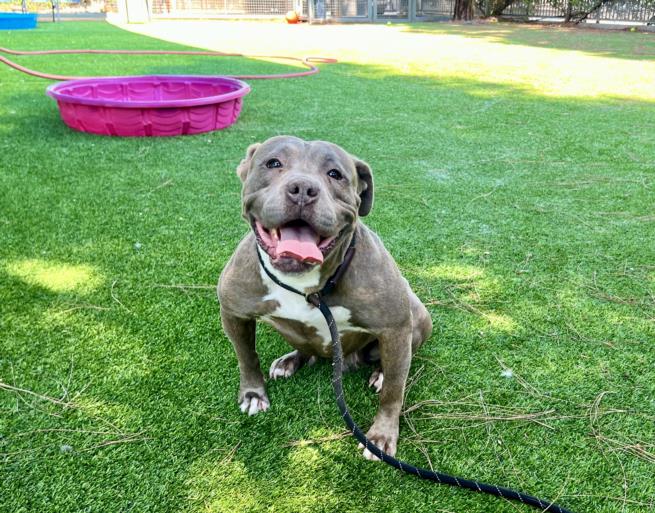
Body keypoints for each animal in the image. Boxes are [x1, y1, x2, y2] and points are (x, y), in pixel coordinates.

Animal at [220, 134, 434, 458]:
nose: (302, 189)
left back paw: (379, 373)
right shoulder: (233, 311)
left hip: (418, 316)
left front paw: (382, 435)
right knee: (305, 348)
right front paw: (253, 394)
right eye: (273, 163)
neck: (307, 286)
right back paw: (290, 361)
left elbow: (394, 390)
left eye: (335, 174)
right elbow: (247, 357)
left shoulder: (395, 327)